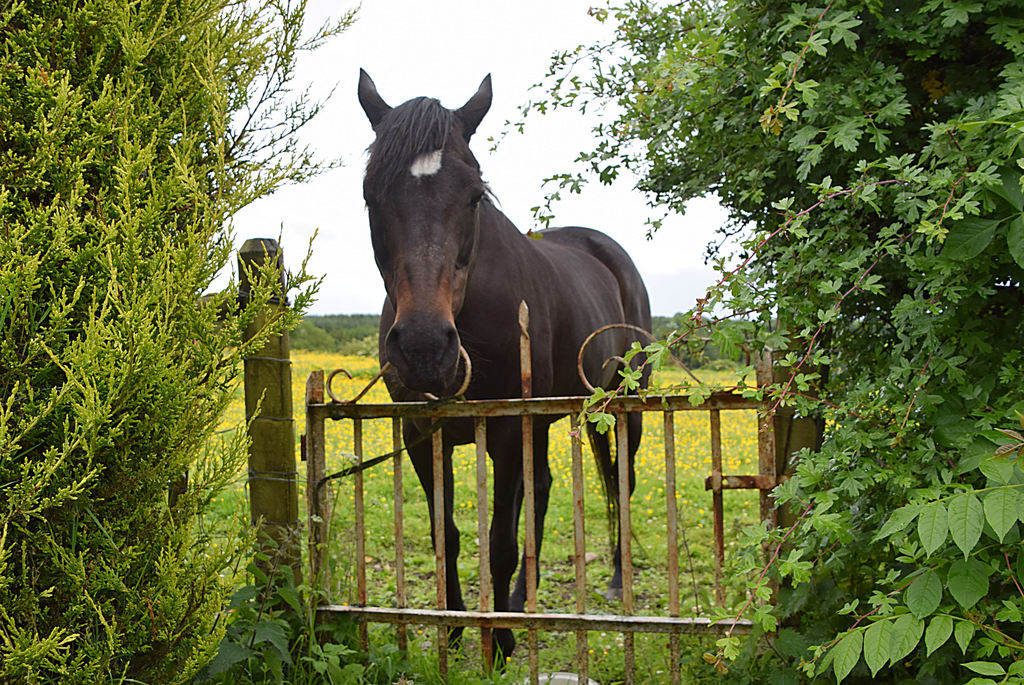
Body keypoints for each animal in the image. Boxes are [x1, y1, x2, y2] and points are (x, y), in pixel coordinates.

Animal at [357, 69, 652, 660]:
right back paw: (520, 598)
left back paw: (611, 581)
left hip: (618, 406)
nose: (425, 349)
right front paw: (452, 628)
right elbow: (445, 534)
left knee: (619, 481)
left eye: (474, 195)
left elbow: (498, 541)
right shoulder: (422, 436)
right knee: (543, 490)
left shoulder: (508, 433)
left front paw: (500, 644)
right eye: (370, 194)